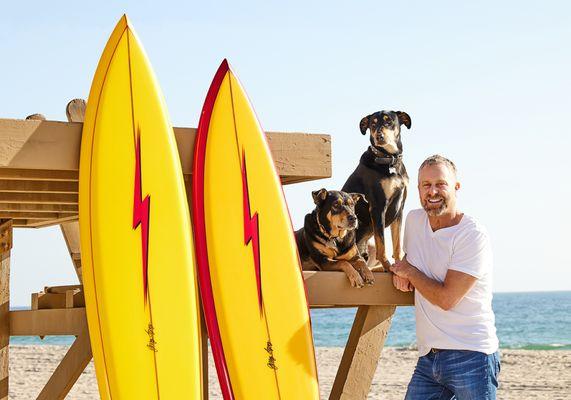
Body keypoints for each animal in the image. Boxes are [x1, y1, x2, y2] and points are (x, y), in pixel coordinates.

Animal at [342, 110, 414, 272]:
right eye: (373, 124)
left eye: (388, 121)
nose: (379, 137)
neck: (389, 160)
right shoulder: (378, 207)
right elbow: (381, 244)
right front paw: (387, 266)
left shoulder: (399, 208)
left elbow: (397, 244)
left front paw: (398, 265)